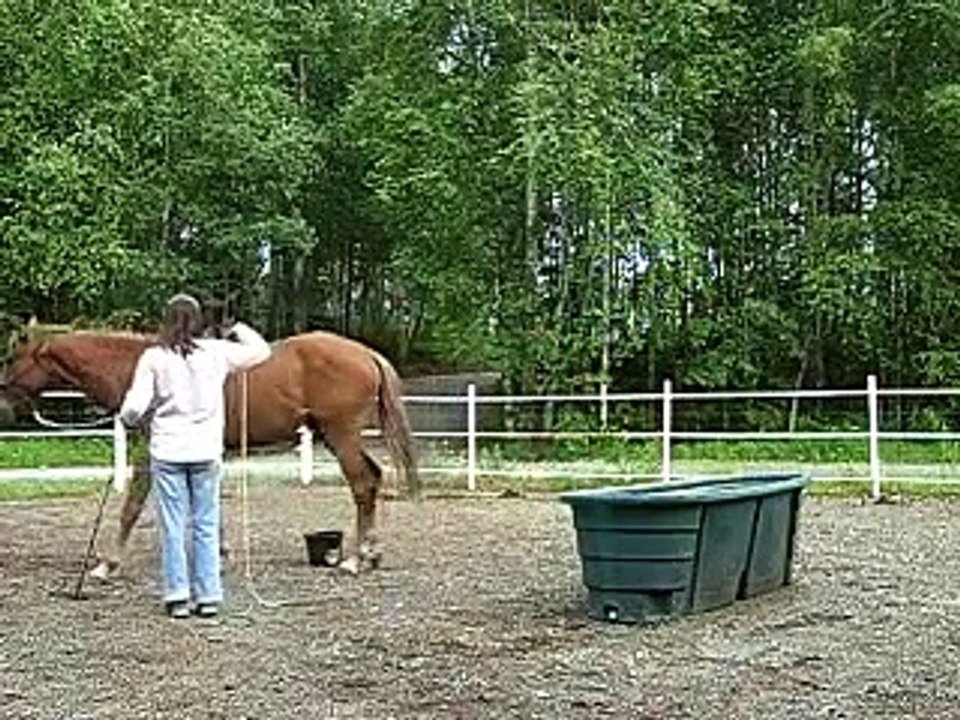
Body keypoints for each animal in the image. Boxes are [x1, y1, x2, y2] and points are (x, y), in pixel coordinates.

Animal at [1, 330, 419, 577]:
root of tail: (366, 353)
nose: (3, 399)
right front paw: (219, 554)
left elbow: (132, 506)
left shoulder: (151, 452)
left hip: (341, 435)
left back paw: (356, 559)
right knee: (373, 479)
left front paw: (108, 565)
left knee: (362, 485)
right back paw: (370, 554)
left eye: (15, 358)